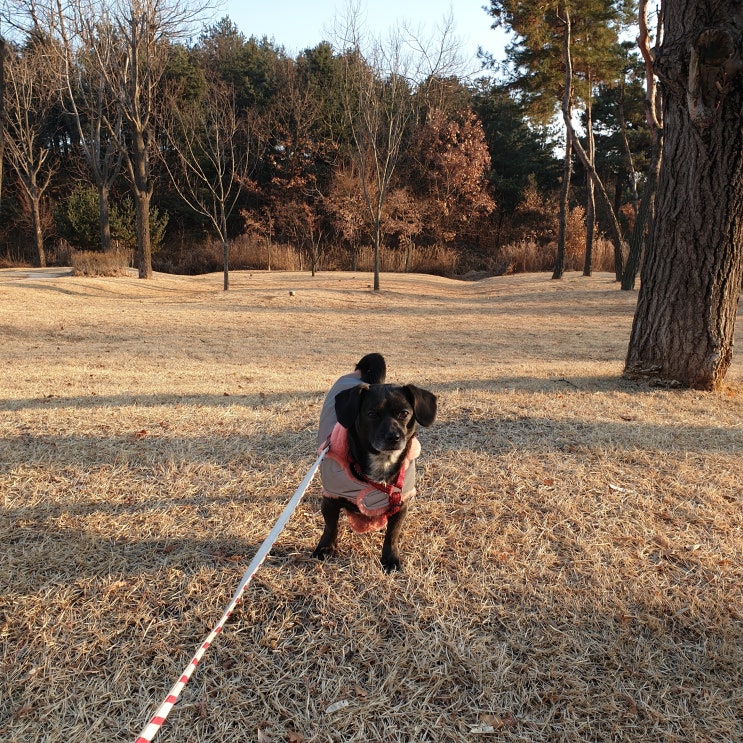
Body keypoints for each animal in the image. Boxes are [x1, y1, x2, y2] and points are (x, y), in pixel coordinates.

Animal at [312, 358, 436, 572]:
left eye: (404, 413)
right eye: (371, 414)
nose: (393, 437)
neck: (381, 465)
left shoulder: (400, 504)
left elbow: (392, 535)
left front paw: (390, 558)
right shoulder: (330, 500)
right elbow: (330, 526)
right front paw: (325, 548)